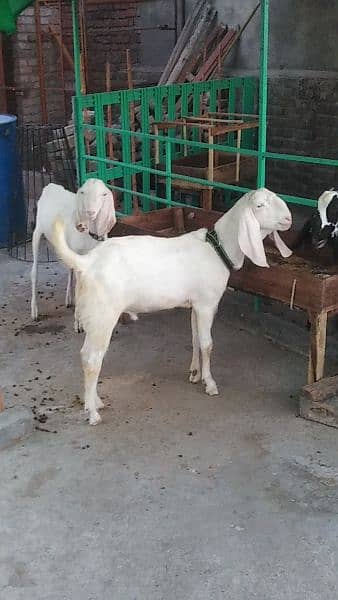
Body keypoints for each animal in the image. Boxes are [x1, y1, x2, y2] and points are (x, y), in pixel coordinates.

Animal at [30, 178, 117, 324]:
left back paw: (68, 299)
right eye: (83, 192)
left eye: (104, 194)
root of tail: (51, 186)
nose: (90, 212)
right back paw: (34, 311)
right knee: (34, 273)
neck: (90, 235)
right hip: (38, 231)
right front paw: (78, 322)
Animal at [51, 185, 292, 424]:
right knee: (92, 358)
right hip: (103, 315)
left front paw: (195, 373)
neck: (217, 248)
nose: (289, 219)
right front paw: (210, 383)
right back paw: (93, 412)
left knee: (86, 355)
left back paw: (94, 402)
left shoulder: (195, 304)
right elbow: (208, 344)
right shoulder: (207, 303)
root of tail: (87, 262)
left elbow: (195, 339)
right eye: (260, 205)